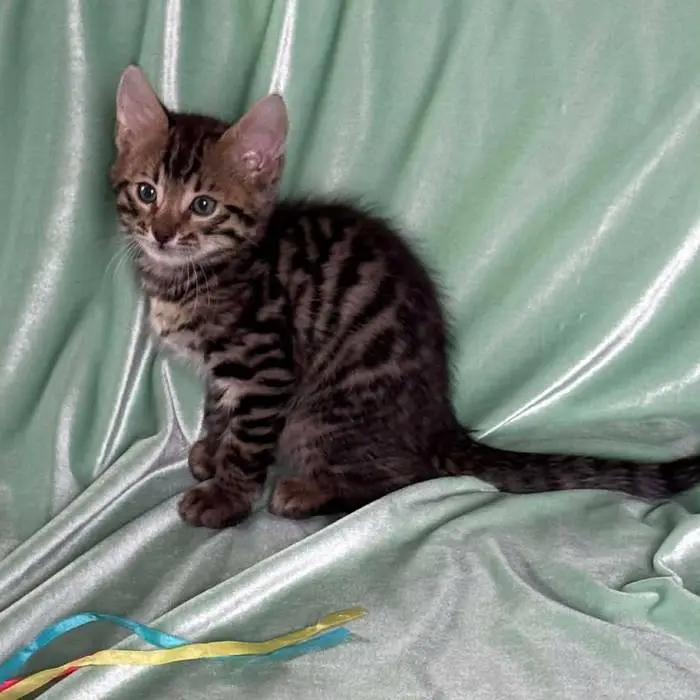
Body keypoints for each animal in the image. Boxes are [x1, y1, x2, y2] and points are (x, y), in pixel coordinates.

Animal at [110, 65, 700, 529]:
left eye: (203, 205)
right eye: (146, 193)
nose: (162, 233)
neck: (192, 277)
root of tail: (441, 420)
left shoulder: (266, 367)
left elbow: (248, 441)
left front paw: (226, 497)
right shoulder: (224, 373)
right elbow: (218, 412)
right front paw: (211, 452)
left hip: (319, 414)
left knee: (405, 479)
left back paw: (307, 491)